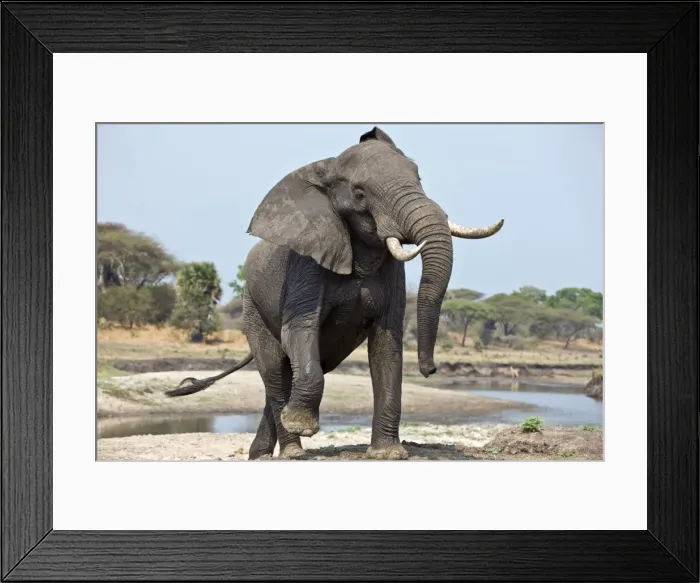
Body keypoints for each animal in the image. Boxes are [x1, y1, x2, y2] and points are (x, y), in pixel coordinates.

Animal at [165, 126, 504, 460]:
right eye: (360, 194)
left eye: (419, 178)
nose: (430, 369)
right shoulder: (307, 262)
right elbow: (301, 329)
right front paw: (302, 424)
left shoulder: (392, 272)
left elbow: (387, 344)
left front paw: (387, 453)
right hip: (253, 308)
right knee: (274, 370)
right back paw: (291, 451)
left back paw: (261, 454)